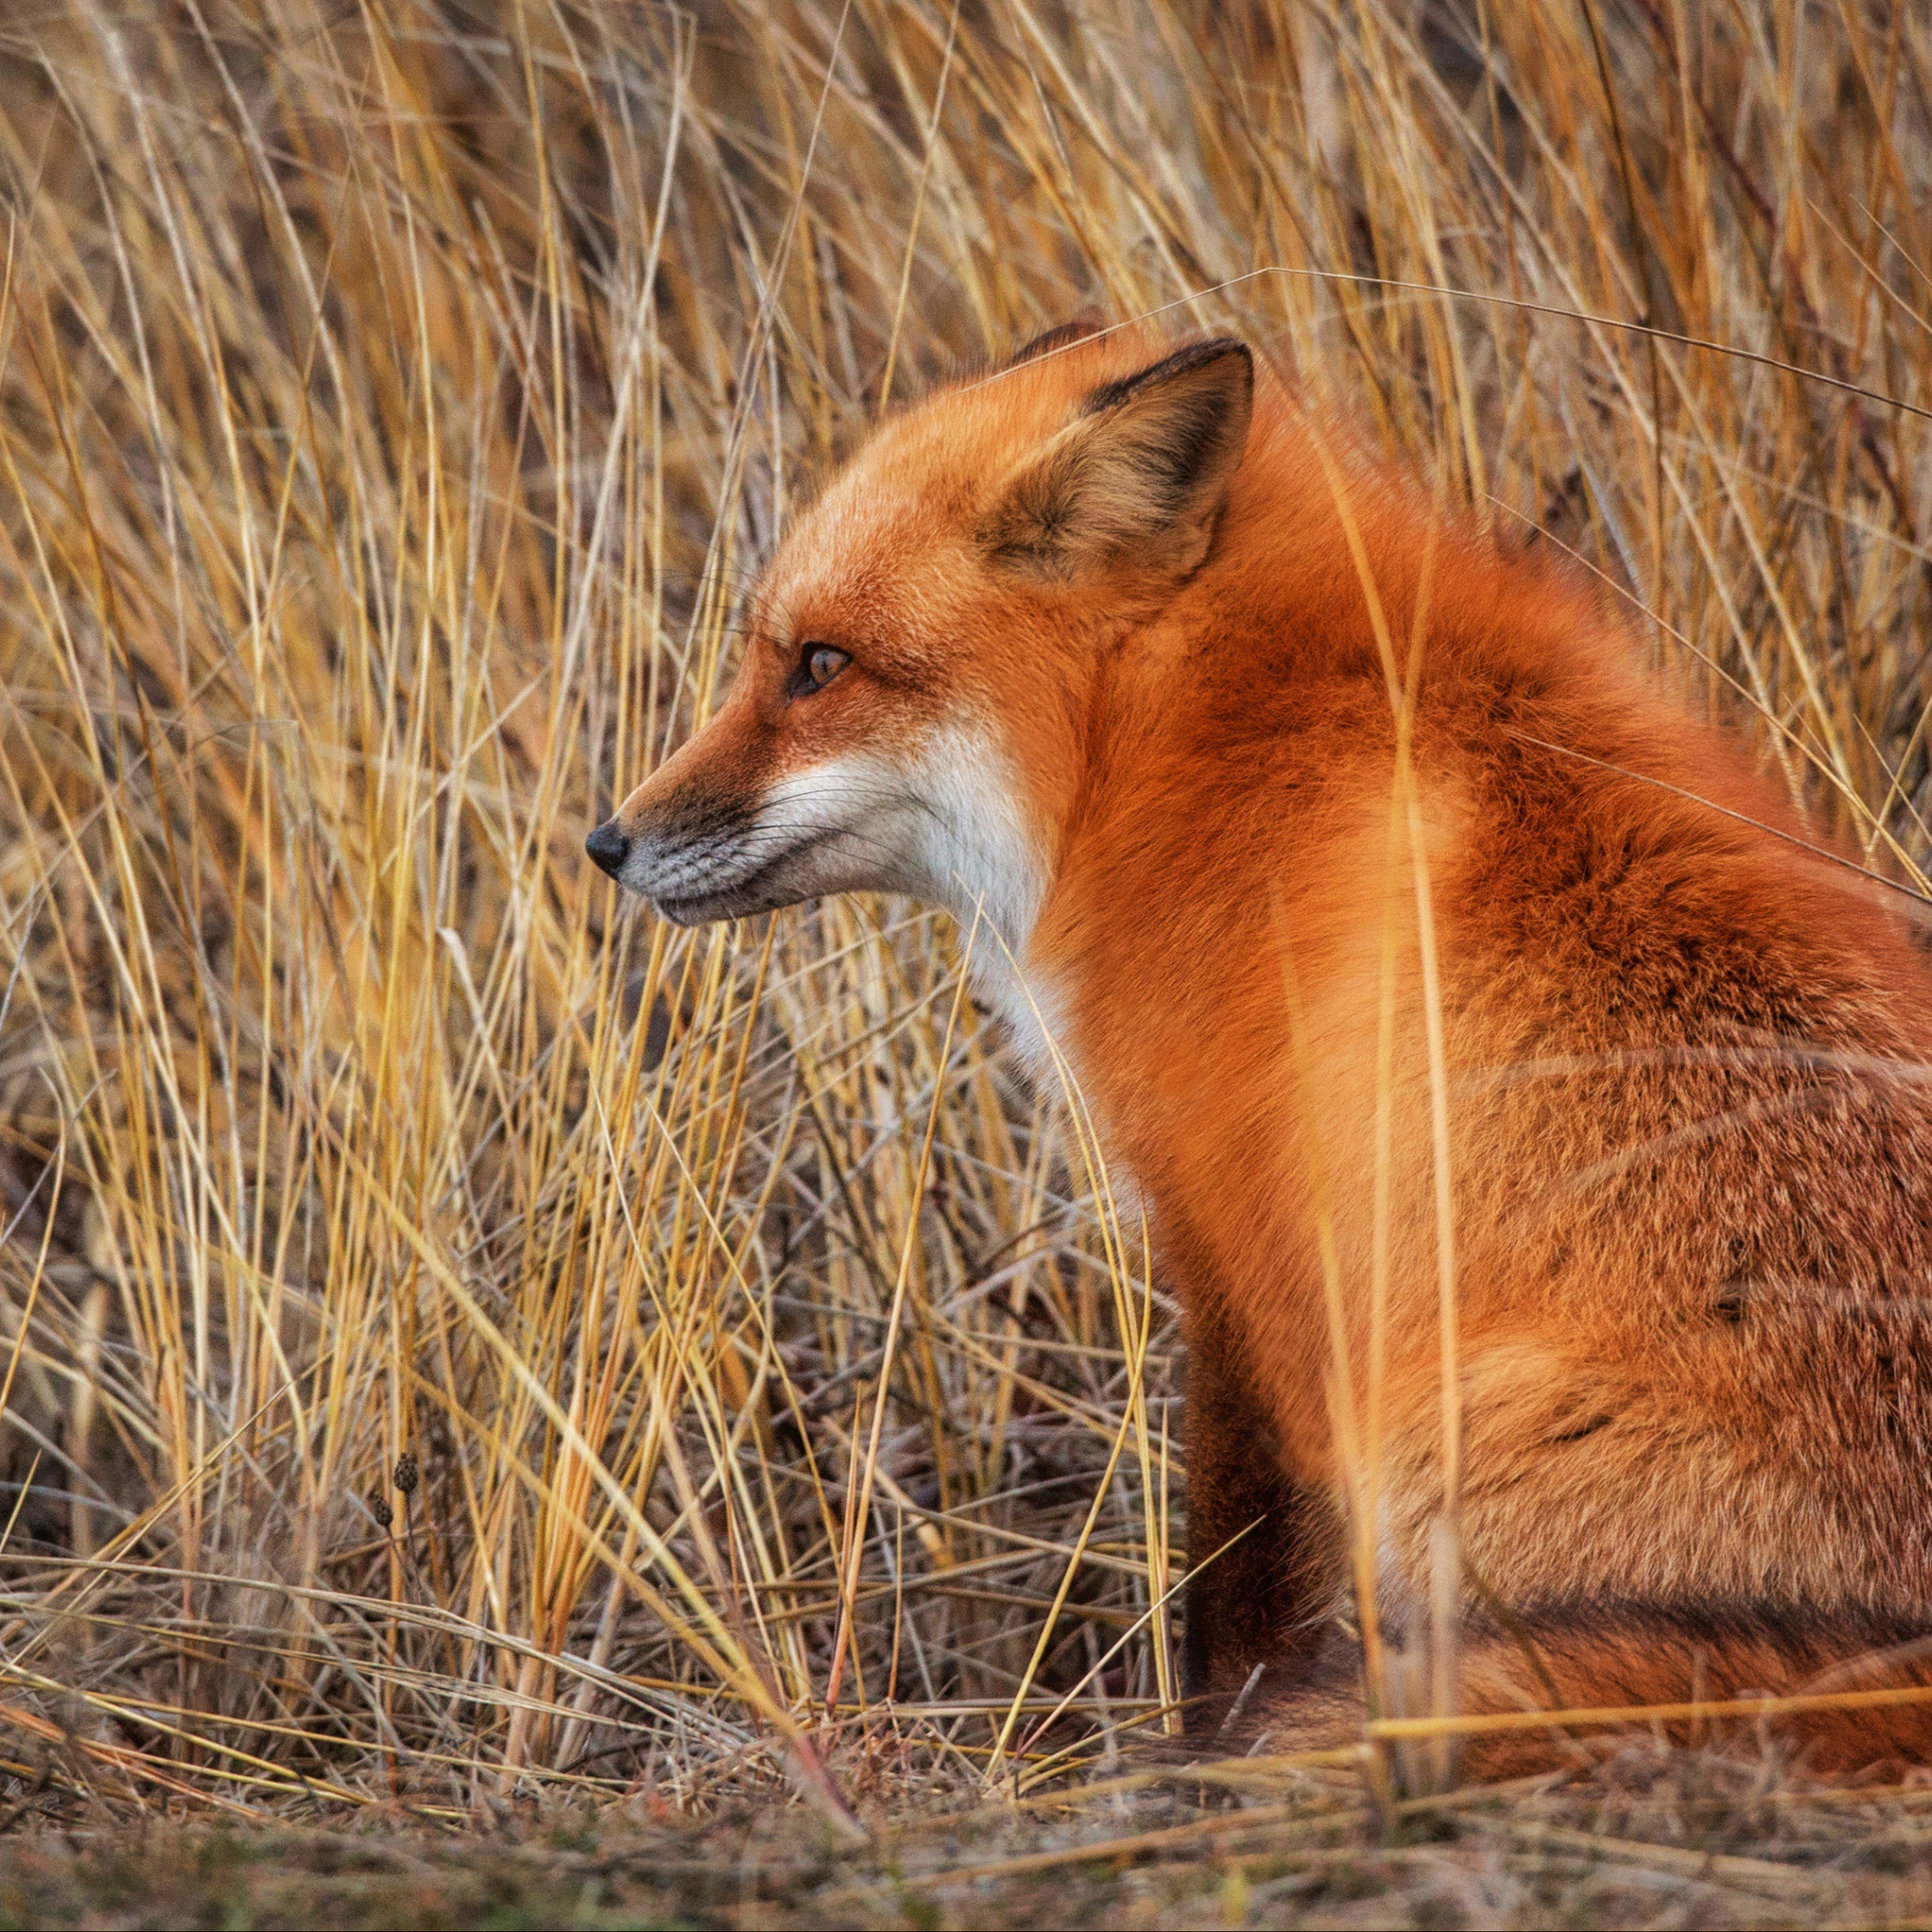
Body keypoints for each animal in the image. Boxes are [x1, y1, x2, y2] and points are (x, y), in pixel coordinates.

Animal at [587, 320, 1932, 1777]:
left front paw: (1200, 1751)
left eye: (821, 665)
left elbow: (1230, 1585)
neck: (1175, 741)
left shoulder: (1238, 1238)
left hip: (1442, 1443)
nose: (607, 841)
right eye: (771, 656)